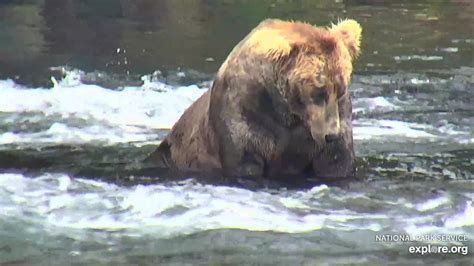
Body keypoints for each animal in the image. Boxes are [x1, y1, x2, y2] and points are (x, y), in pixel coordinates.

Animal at [146, 18, 362, 180]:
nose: (330, 134)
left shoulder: (333, 121)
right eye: (318, 91)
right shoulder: (245, 115)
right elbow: (244, 160)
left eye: (340, 89)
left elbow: (336, 161)